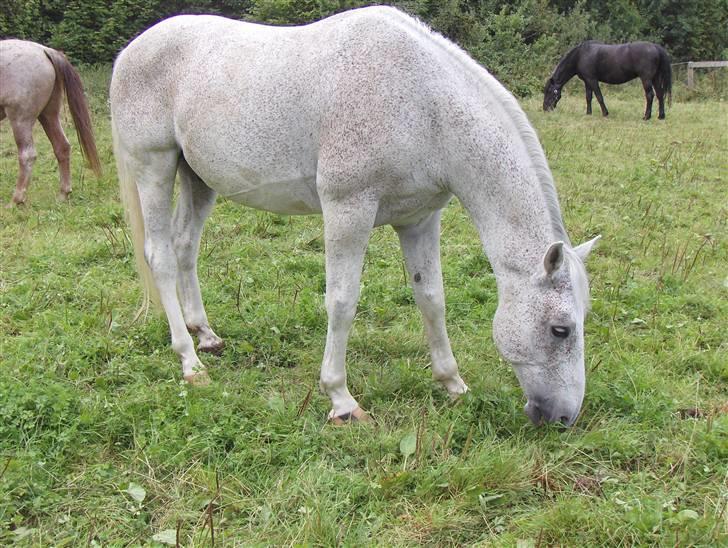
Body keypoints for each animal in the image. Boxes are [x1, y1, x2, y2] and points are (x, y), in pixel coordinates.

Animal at [0, 39, 101, 206]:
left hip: (21, 119)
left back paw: (16, 200)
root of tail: (44, 50)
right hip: (49, 115)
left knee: (27, 155)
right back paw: (63, 193)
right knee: (62, 147)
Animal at [109, 6, 596, 428]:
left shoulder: (420, 219)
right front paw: (340, 399)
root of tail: (131, 50)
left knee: (185, 246)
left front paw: (452, 382)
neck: (423, 104)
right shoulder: (348, 209)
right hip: (154, 166)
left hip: (198, 179)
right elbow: (342, 302)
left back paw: (206, 335)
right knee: (161, 256)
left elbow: (431, 298)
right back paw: (189, 361)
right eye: (560, 330)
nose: (565, 418)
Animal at [544, 41, 672, 120]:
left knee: (650, 95)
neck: (581, 55)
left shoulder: (592, 80)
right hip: (655, 78)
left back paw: (646, 117)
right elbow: (588, 97)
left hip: (646, 79)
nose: (545, 108)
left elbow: (599, 97)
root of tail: (655, 47)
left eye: (549, 92)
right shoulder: (587, 81)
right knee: (660, 94)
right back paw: (661, 116)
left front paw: (605, 113)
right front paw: (588, 113)